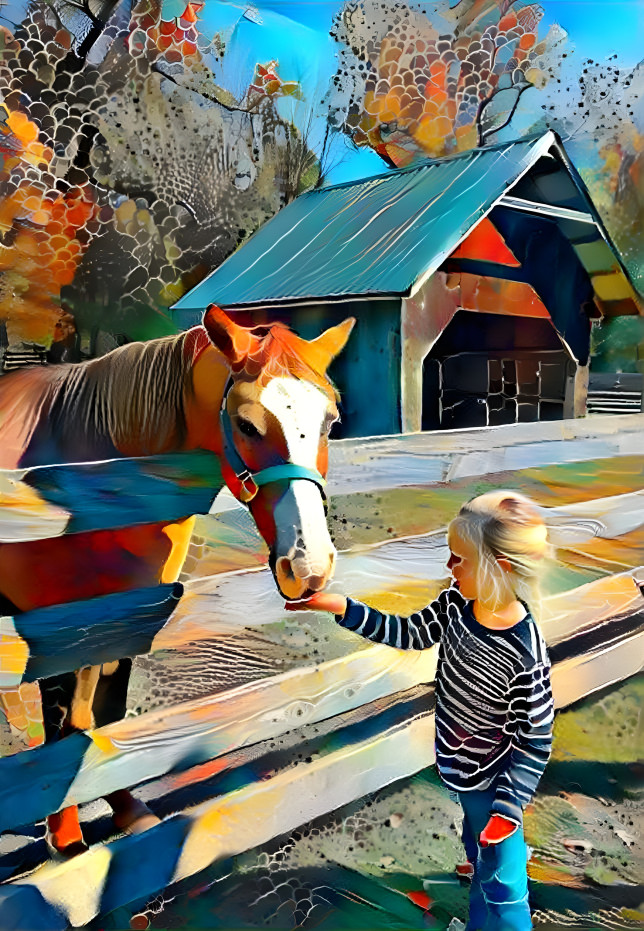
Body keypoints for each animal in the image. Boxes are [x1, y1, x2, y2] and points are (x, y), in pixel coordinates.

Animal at [0, 302, 354, 856]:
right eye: (246, 423)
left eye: (331, 421)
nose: (308, 566)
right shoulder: (55, 634)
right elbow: (67, 728)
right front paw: (67, 838)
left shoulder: (130, 617)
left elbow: (106, 717)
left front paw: (126, 809)